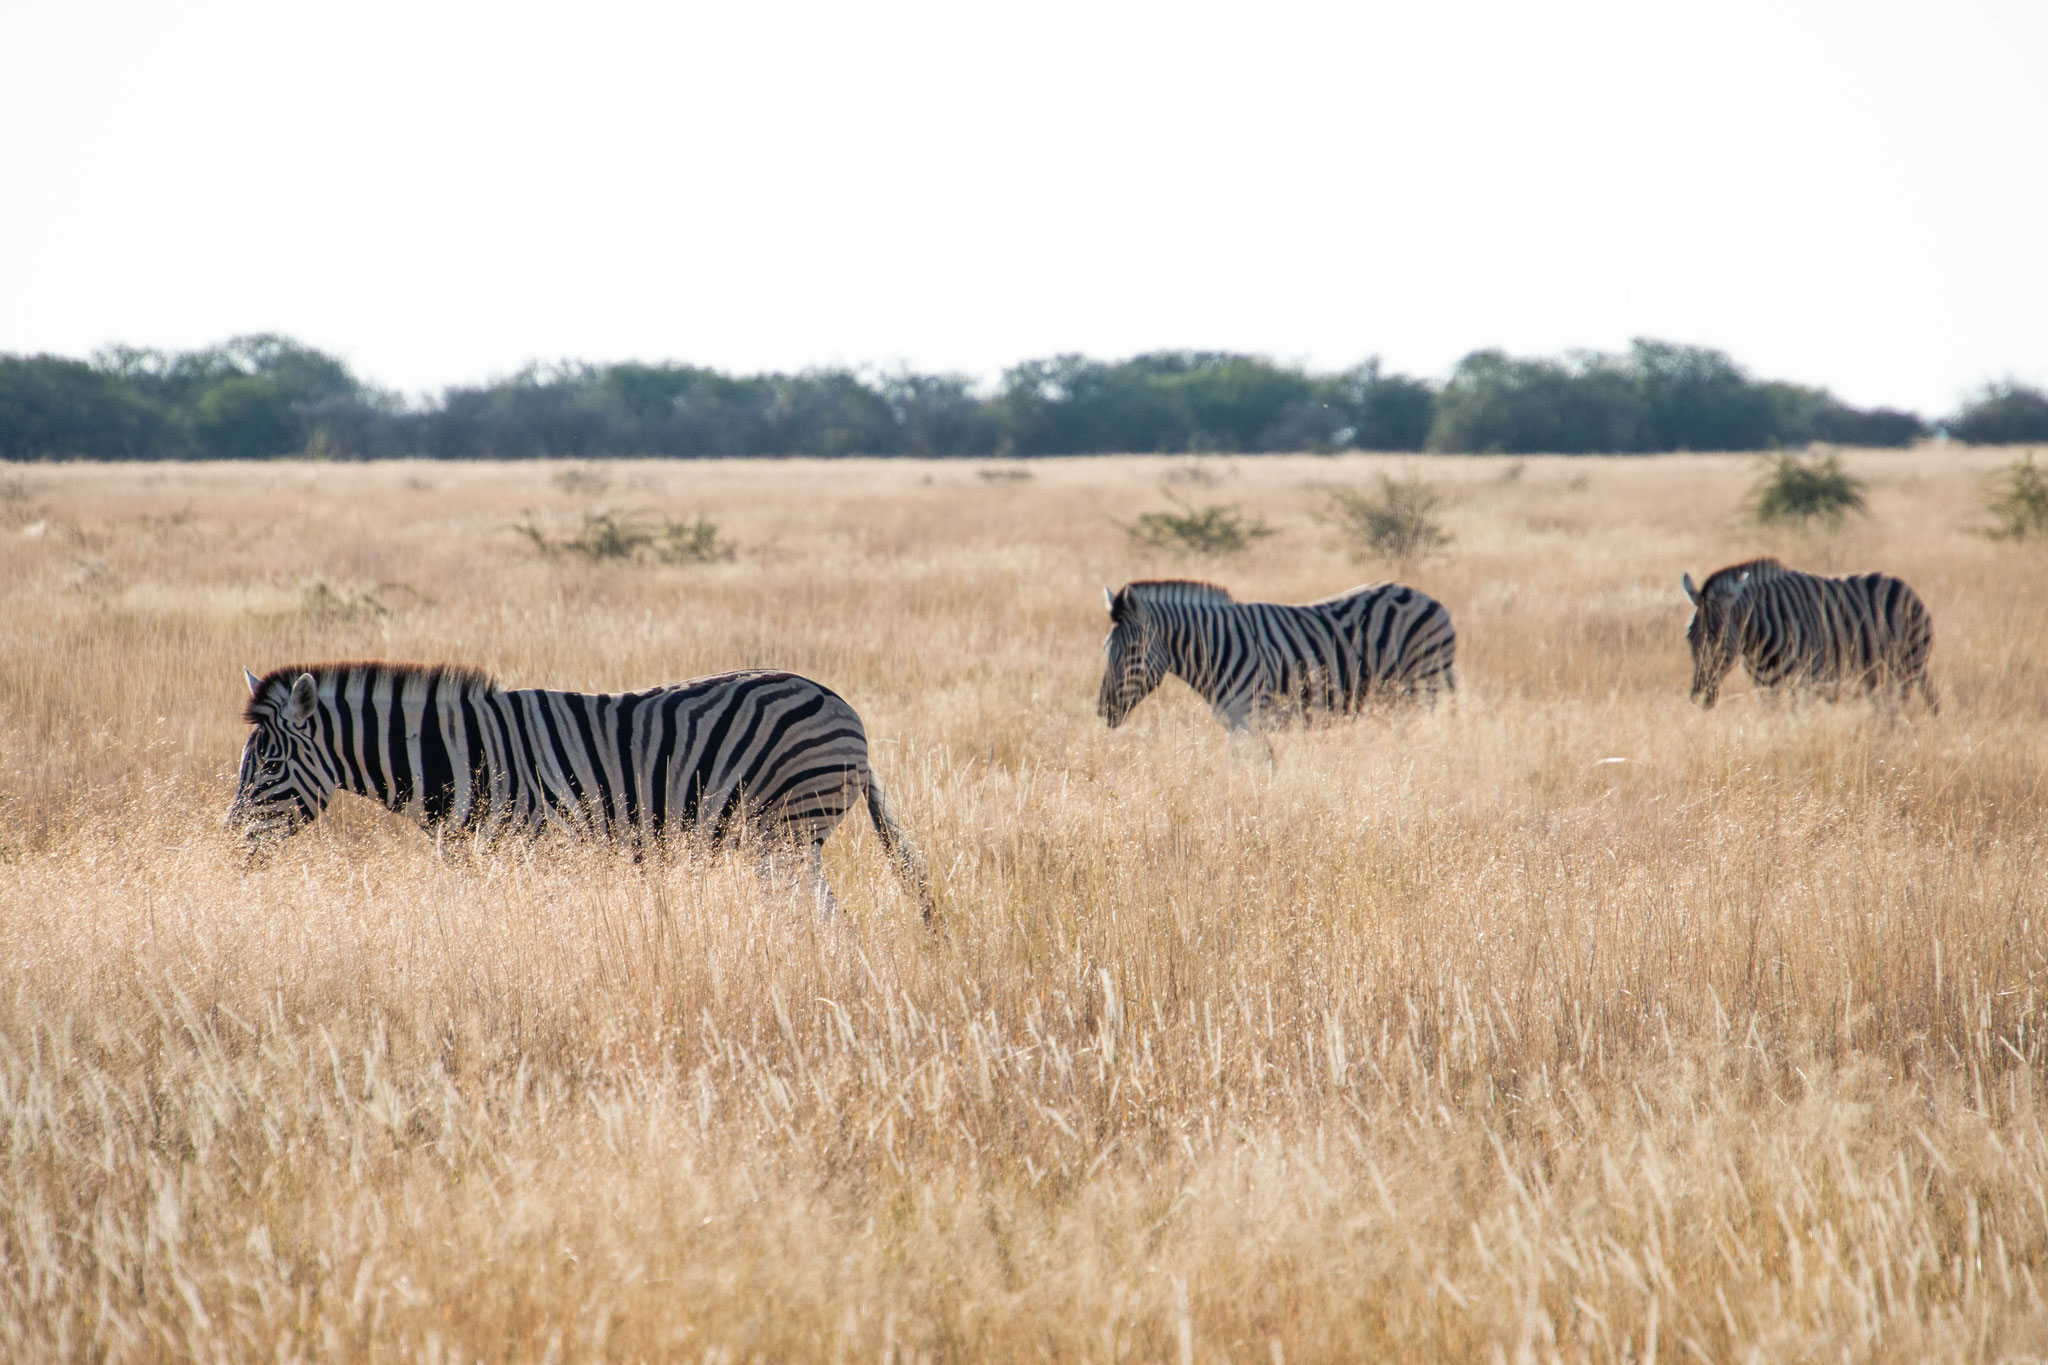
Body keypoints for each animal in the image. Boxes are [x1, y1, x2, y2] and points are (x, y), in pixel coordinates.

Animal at [228, 663, 933, 916]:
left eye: (270, 769)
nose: (229, 850)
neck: (460, 757)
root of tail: (842, 705)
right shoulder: (474, 860)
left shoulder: (536, 848)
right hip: (785, 836)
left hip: (787, 828)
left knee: (817, 914)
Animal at [1105, 577, 1458, 732]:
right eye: (1106, 650)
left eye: (1132, 651)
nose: (1103, 710)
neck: (1216, 647)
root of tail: (1431, 600)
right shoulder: (1239, 724)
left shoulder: (1249, 719)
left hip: (1422, 684)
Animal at [1679, 556, 1933, 716]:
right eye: (1690, 639)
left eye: (1720, 643)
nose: (1699, 697)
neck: (1758, 643)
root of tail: (1903, 585)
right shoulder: (1766, 691)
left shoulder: (1804, 686)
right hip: (1876, 677)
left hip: (1905, 670)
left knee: (1893, 715)